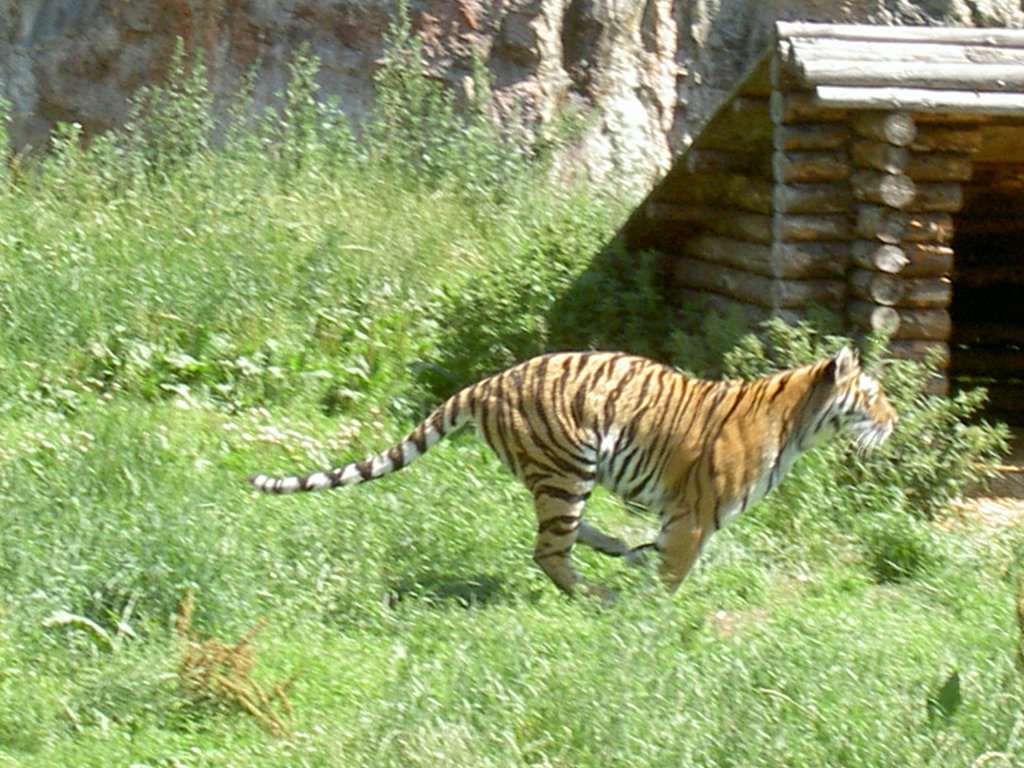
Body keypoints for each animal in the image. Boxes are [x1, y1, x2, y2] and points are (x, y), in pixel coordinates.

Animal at [247, 348, 897, 602]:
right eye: (873, 395)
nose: (893, 421)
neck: (801, 423)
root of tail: (487, 382)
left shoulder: (678, 515)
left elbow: (664, 559)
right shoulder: (694, 516)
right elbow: (672, 575)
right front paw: (654, 615)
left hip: (560, 474)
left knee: (565, 534)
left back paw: (618, 551)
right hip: (568, 465)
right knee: (549, 550)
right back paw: (599, 594)